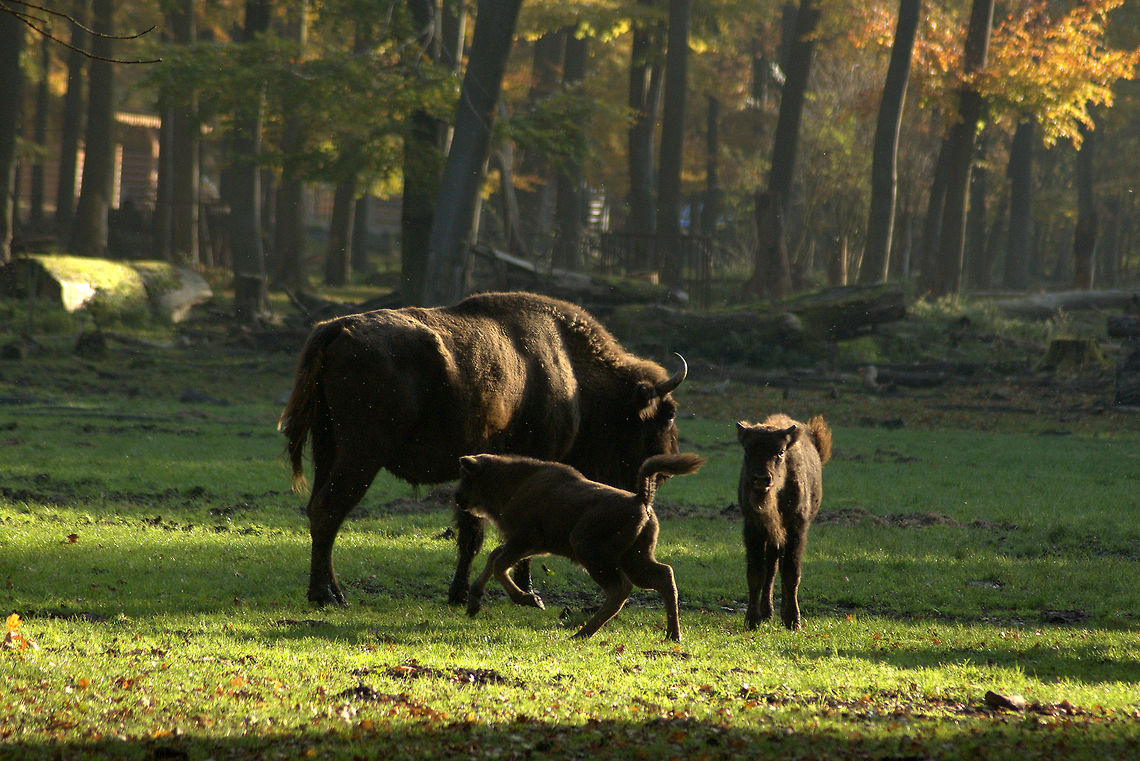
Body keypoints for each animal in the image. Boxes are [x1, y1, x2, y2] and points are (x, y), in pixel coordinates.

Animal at [278, 291, 687, 607]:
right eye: (666, 413)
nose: (664, 470)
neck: (571, 370)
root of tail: (336, 329)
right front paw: (527, 594)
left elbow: (470, 534)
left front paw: (459, 594)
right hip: (362, 454)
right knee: (329, 510)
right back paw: (328, 596)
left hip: (328, 447)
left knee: (317, 510)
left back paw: (327, 591)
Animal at [735, 414, 832, 631]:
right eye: (747, 449)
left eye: (780, 451)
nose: (761, 479)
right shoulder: (753, 528)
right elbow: (756, 573)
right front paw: (752, 621)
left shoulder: (796, 529)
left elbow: (791, 573)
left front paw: (793, 621)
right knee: (771, 569)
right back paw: (767, 612)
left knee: (778, 568)